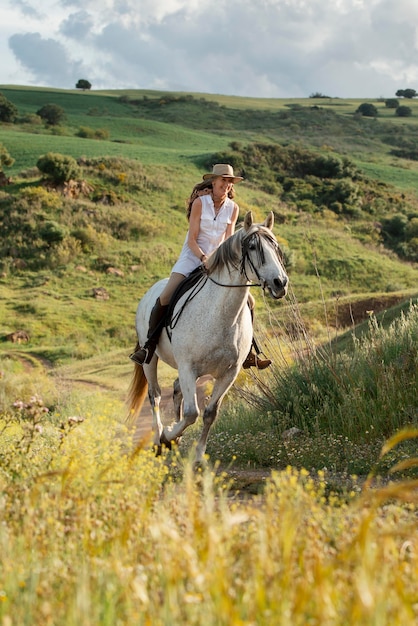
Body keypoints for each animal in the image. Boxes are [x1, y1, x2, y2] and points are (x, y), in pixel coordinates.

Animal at [127, 212, 290, 460]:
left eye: (275, 246)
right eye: (253, 247)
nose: (280, 283)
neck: (221, 314)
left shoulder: (228, 373)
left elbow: (210, 413)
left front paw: (196, 456)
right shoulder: (187, 367)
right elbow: (191, 413)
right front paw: (168, 435)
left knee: (176, 389)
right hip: (150, 360)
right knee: (155, 395)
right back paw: (159, 439)